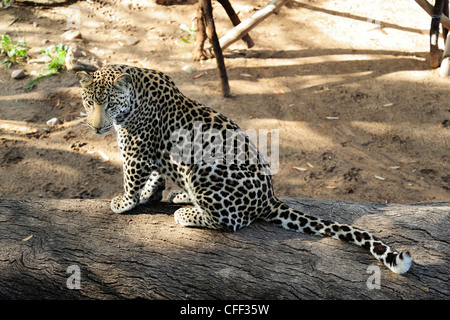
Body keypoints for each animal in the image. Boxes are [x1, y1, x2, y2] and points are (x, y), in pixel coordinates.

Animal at [75, 63, 414, 274]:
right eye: (89, 103)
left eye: (109, 104)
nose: (96, 128)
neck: (135, 92)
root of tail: (269, 198)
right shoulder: (157, 152)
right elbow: (156, 176)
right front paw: (150, 195)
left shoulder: (136, 148)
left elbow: (131, 177)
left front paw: (125, 202)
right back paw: (182, 197)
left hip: (202, 169)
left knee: (232, 221)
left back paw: (187, 212)